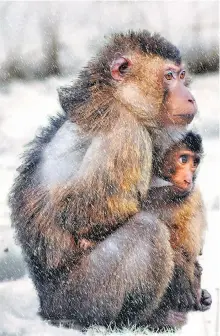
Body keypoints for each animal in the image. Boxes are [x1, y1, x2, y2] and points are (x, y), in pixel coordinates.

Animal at [8, 30, 198, 330]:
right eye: (169, 76)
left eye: (181, 75)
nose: (189, 97)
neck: (118, 97)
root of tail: (46, 307)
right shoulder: (126, 134)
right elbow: (85, 215)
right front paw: (184, 265)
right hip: (81, 296)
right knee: (147, 230)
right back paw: (142, 318)